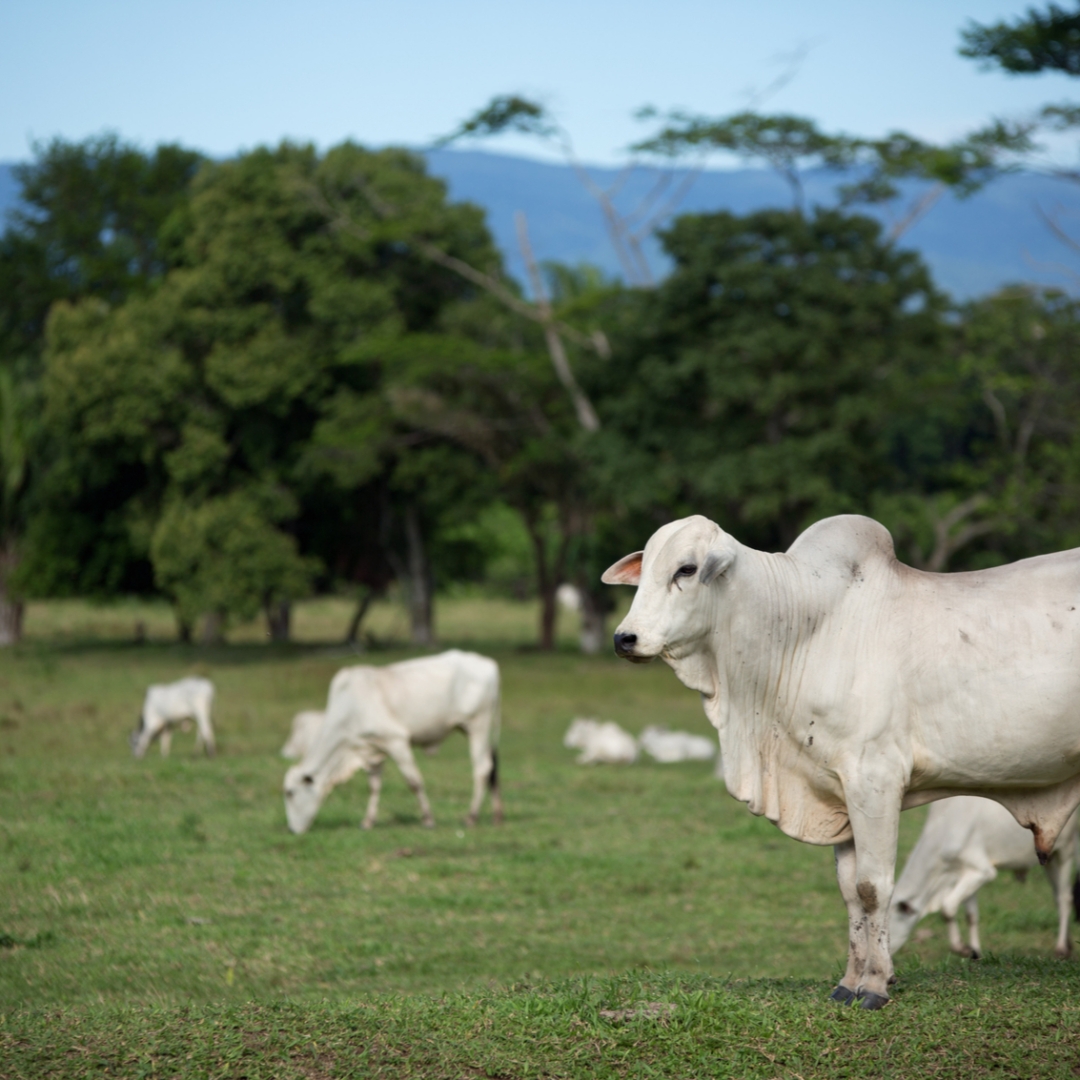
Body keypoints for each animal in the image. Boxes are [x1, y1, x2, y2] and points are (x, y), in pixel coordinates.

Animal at [282, 648, 501, 833]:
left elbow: (414, 782)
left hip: (478, 726)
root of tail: (488, 663)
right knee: (492, 769)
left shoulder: (396, 741)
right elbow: (374, 786)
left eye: (290, 793)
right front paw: (368, 821)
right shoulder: (373, 749)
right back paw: (496, 815)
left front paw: (428, 819)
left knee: (482, 768)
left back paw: (472, 816)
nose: (292, 830)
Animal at [889, 794, 1075, 963]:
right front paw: (975, 952)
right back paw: (1068, 944)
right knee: (1057, 896)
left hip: (1065, 852)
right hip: (1050, 860)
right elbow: (971, 916)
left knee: (1064, 898)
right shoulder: (965, 875)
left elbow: (947, 908)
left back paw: (1061, 948)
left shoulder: (983, 871)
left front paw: (962, 948)